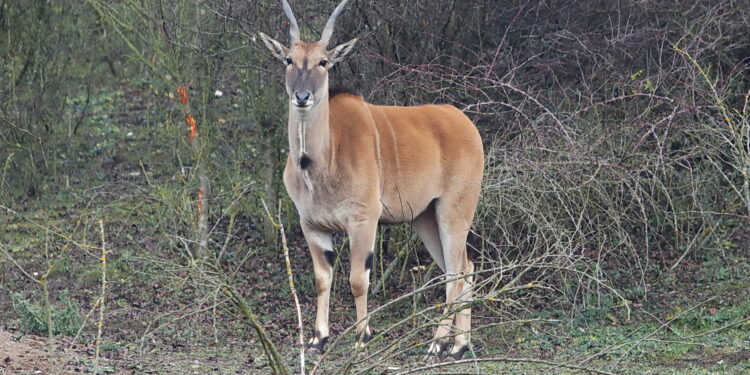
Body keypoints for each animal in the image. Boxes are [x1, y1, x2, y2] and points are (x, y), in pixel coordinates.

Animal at [258, 0, 482, 362]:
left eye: (323, 61)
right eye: (289, 60)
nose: (302, 96)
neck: (320, 161)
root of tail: (464, 122)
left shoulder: (363, 219)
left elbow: (357, 280)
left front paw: (362, 339)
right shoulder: (312, 225)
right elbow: (323, 279)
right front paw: (317, 340)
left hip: (455, 210)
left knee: (455, 273)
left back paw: (438, 344)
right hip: (425, 218)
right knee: (465, 267)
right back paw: (459, 345)